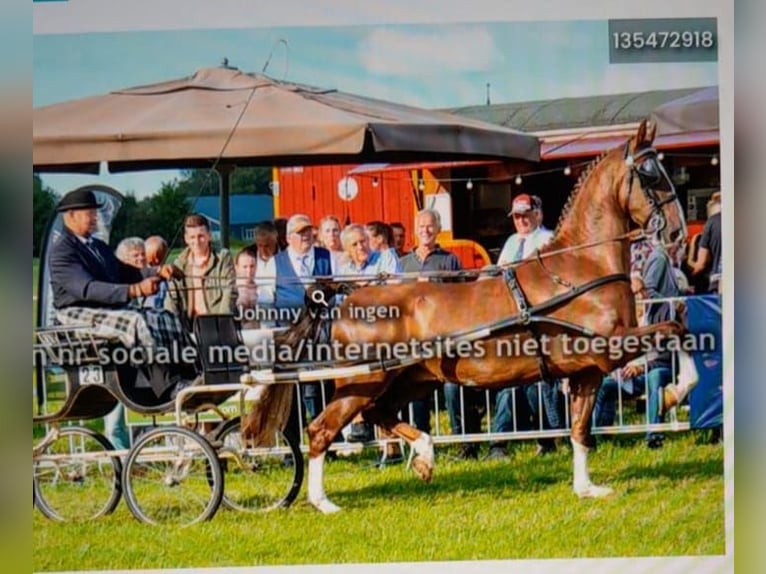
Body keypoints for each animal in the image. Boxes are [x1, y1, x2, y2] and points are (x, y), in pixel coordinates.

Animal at [284, 119, 700, 516]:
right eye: (650, 173)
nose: (677, 231)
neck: (580, 267)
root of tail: (348, 298)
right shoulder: (611, 347)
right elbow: (677, 329)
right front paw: (674, 392)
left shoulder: (588, 370)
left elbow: (581, 429)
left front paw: (586, 488)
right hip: (364, 380)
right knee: (321, 429)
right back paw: (323, 502)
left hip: (411, 378)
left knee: (377, 413)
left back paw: (424, 456)